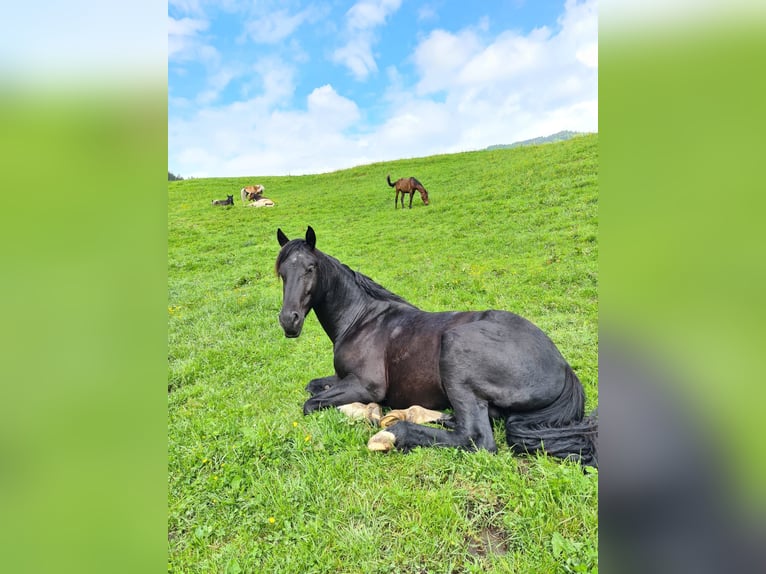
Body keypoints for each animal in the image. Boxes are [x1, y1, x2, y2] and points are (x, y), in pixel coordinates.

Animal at [276, 226, 600, 468]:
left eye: (310, 268)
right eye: (282, 273)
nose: (288, 320)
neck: (362, 319)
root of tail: (563, 368)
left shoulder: (367, 385)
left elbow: (312, 403)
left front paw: (369, 413)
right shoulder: (343, 378)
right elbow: (313, 387)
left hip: (455, 349)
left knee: (476, 438)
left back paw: (394, 432)